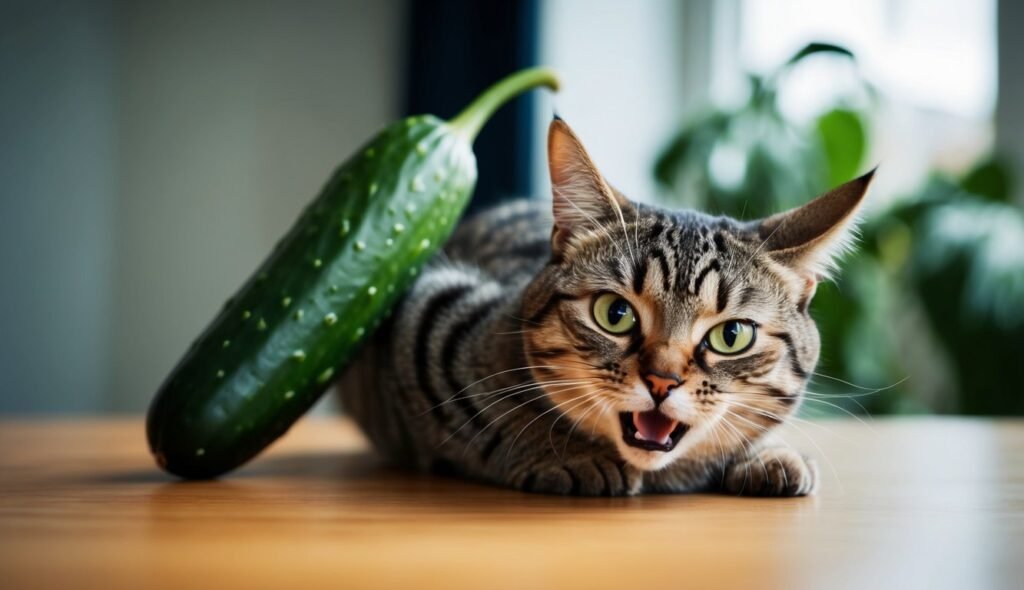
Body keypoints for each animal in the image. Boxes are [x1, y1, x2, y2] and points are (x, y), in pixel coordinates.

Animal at [337, 117, 872, 495]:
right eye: (615, 314)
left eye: (732, 336)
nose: (662, 381)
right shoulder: (426, 312)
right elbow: (490, 409)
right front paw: (563, 452)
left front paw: (768, 453)